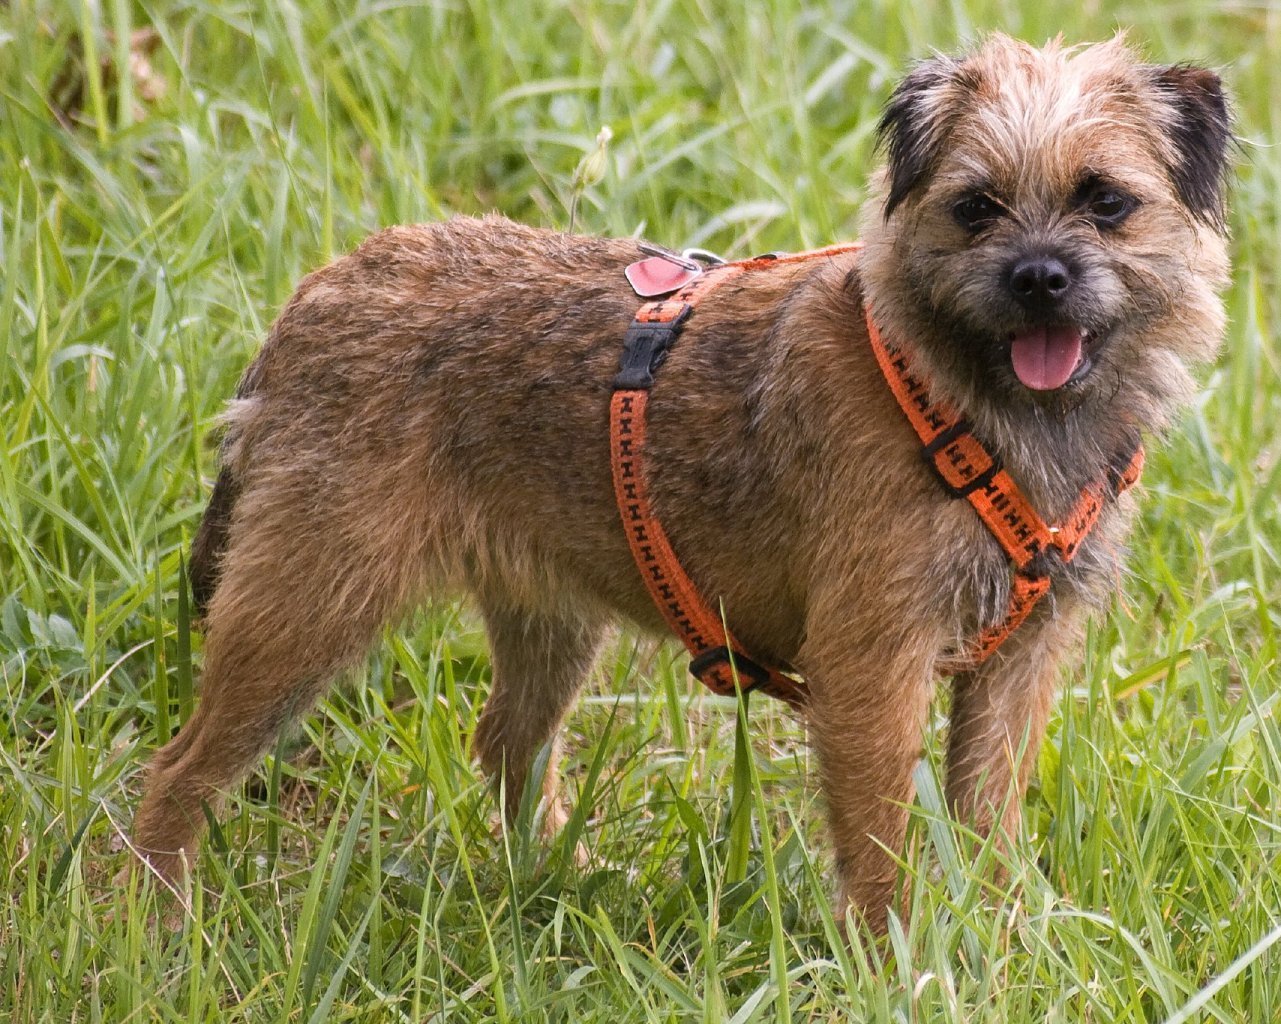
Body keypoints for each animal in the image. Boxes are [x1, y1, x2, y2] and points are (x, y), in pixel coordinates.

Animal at [130, 36, 1229, 933]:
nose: (1039, 276)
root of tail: (315, 298)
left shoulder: (1016, 667)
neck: (970, 399)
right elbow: (879, 842)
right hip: (305, 611)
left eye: (1106, 202)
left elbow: (986, 827)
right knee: (179, 769)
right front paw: (898, 963)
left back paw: (557, 882)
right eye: (975, 207)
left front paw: (990, 947)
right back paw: (155, 929)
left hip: (546, 621)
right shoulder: (873, 668)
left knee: (506, 744)